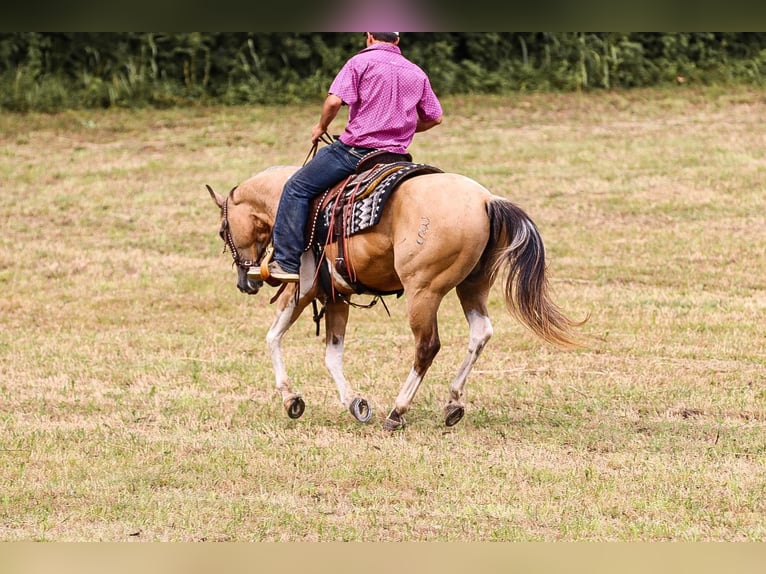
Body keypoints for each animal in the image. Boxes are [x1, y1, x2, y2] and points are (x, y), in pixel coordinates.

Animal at [207, 160, 584, 430]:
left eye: (223, 230)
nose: (245, 282)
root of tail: (485, 200)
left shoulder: (304, 287)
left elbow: (273, 337)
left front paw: (291, 399)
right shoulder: (337, 296)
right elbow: (332, 355)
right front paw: (355, 404)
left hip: (424, 291)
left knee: (427, 346)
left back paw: (398, 411)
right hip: (473, 286)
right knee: (481, 333)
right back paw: (453, 403)